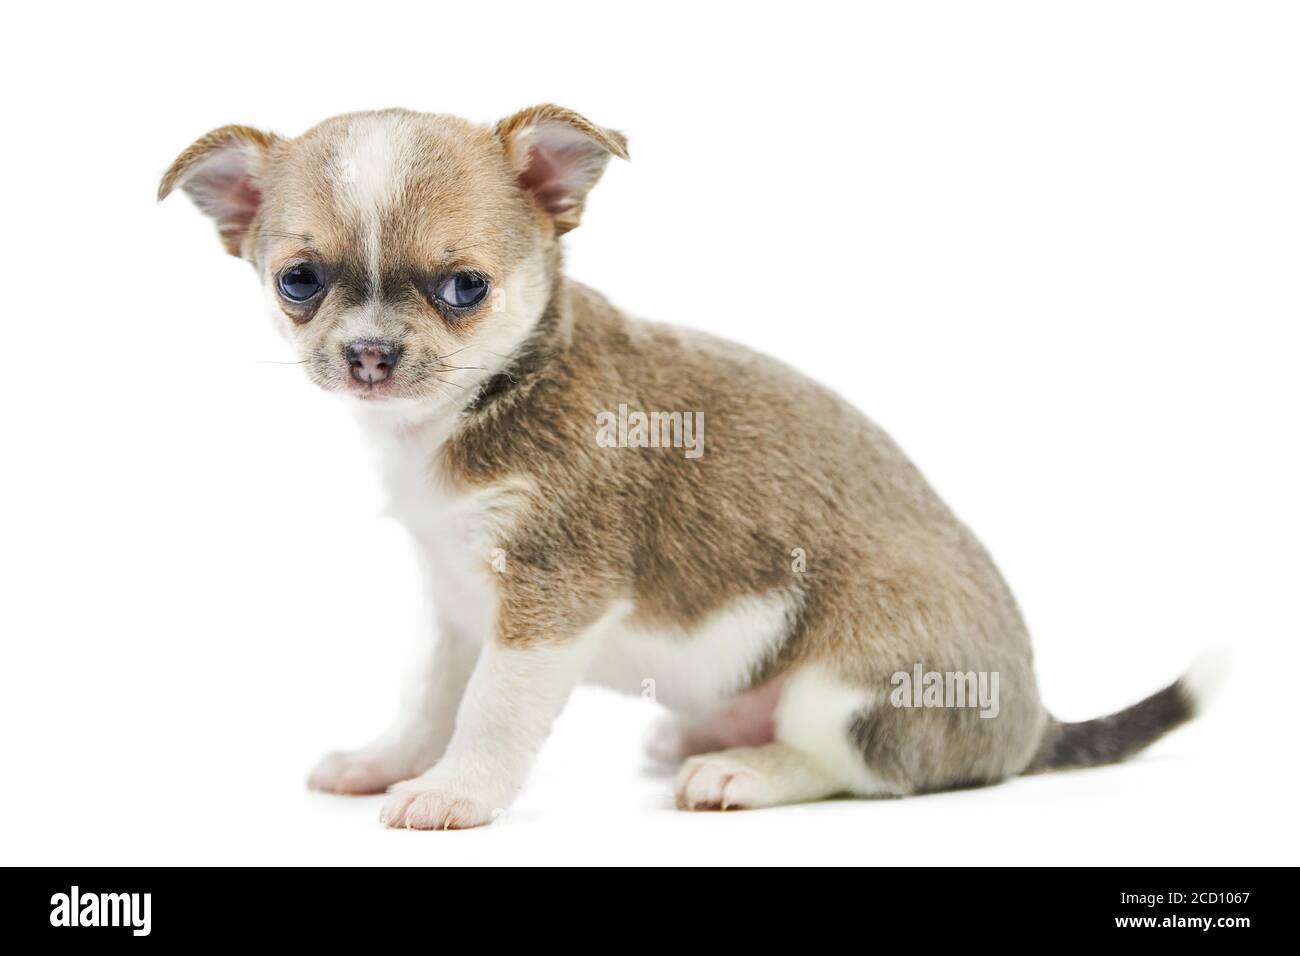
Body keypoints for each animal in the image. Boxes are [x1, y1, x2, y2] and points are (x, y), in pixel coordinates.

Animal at [159, 102, 1206, 822]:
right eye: (300, 282)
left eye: (465, 289)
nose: (369, 354)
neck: (473, 408)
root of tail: (1034, 724)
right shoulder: (460, 600)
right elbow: (434, 693)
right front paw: (392, 760)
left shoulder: (550, 601)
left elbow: (491, 707)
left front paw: (457, 791)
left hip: (851, 685)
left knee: (861, 768)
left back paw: (741, 768)